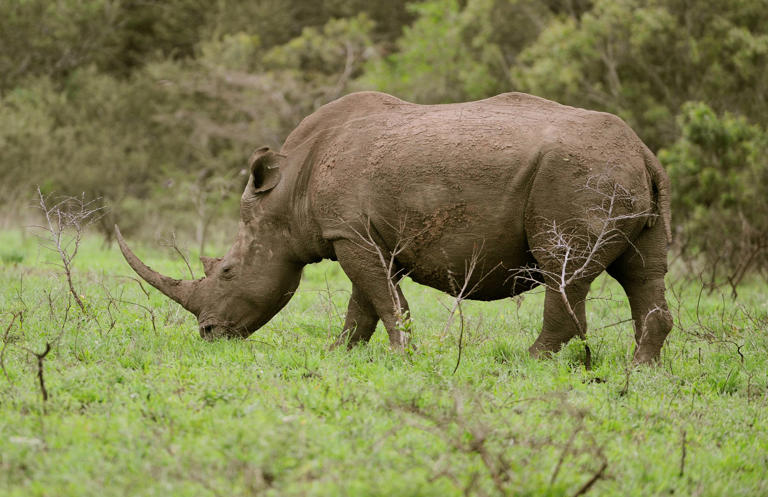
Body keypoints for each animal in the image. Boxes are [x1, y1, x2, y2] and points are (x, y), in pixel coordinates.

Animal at [116, 91, 673, 364]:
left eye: (227, 271)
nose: (208, 334)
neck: (288, 193)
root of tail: (643, 152)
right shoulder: (366, 235)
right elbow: (364, 303)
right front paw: (339, 354)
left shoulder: (350, 234)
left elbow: (382, 300)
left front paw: (403, 355)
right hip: (616, 173)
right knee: (642, 272)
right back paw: (641, 368)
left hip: (576, 176)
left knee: (564, 270)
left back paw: (529, 361)